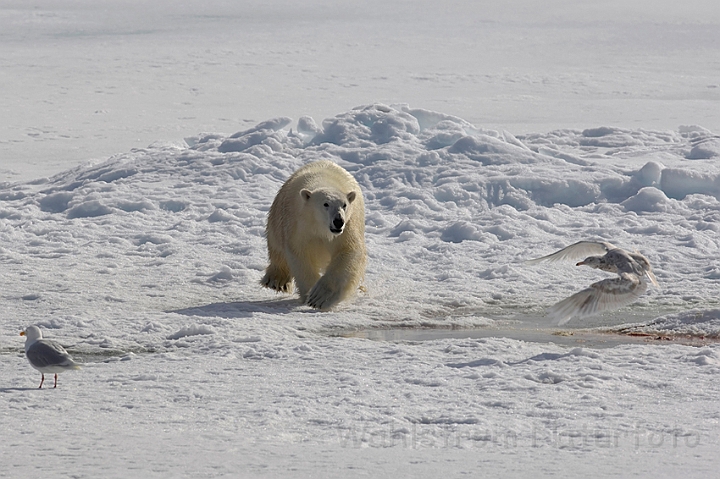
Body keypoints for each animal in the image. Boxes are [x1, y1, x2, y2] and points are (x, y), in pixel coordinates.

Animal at [260, 160, 366, 312]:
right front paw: (310, 295)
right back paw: (277, 281)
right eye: (325, 204)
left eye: (344, 205)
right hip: (277, 217)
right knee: (276, 247)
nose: (338, 221)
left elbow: (347, 252)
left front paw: (320, 298)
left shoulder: (348, 227)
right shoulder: (299, 225)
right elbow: (300, 254)